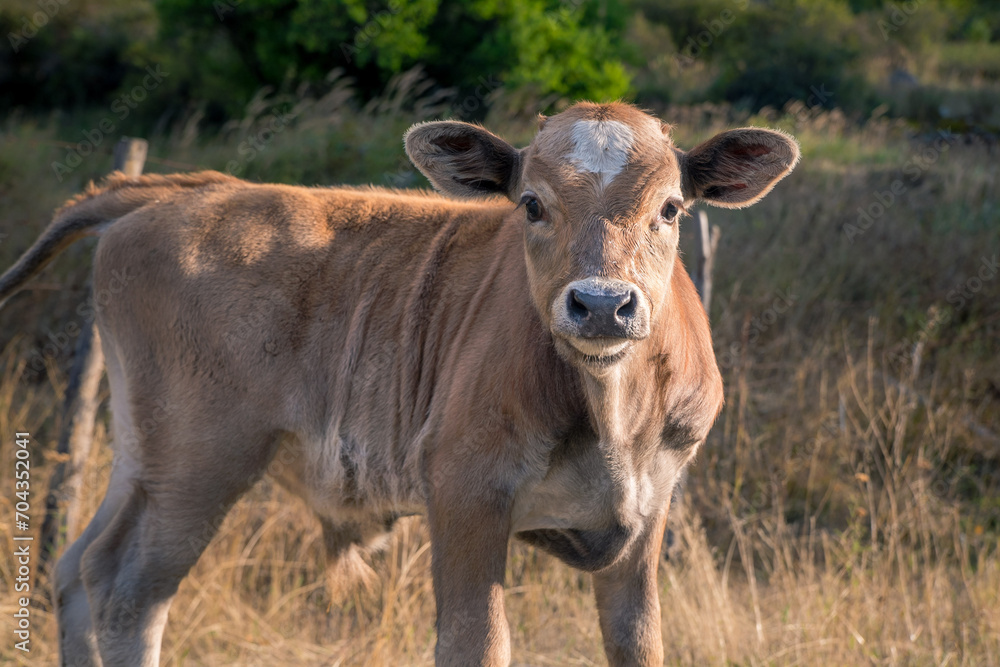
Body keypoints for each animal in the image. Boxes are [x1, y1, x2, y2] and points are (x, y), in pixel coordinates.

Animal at [0, 101, 798, 666]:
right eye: (531, 204)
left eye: (670, 207)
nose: (601, 304)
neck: (612, 418)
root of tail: (188, 190)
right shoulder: (464, 491)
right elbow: (476, 645)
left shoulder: (646, 510)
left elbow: (637, 643)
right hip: (199, 461)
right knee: (128, 593)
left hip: (145, 456)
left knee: (78, 567)